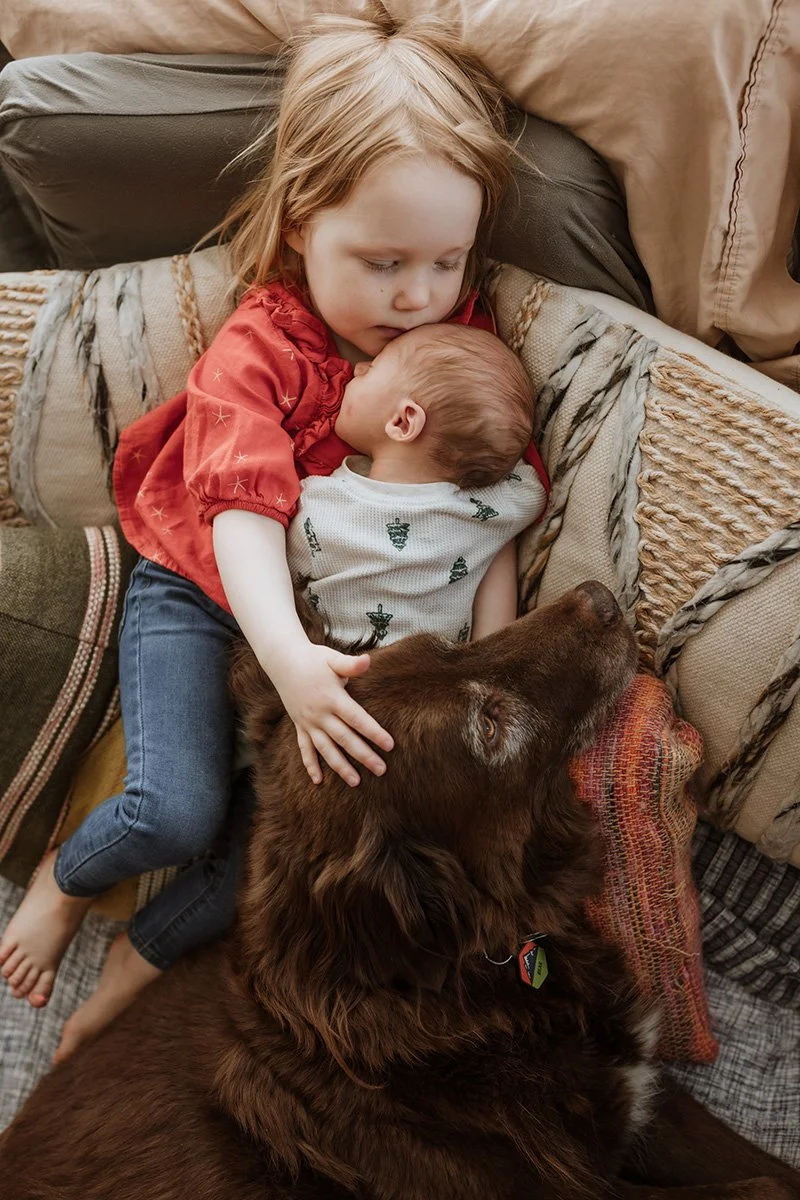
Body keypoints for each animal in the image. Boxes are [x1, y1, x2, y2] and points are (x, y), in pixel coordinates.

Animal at [1, 582, 798, 1200]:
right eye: (490, 728)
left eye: (447, 645)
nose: (600, 596)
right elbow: (764, 1184)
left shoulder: (642, 1096)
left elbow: (766, 1166)